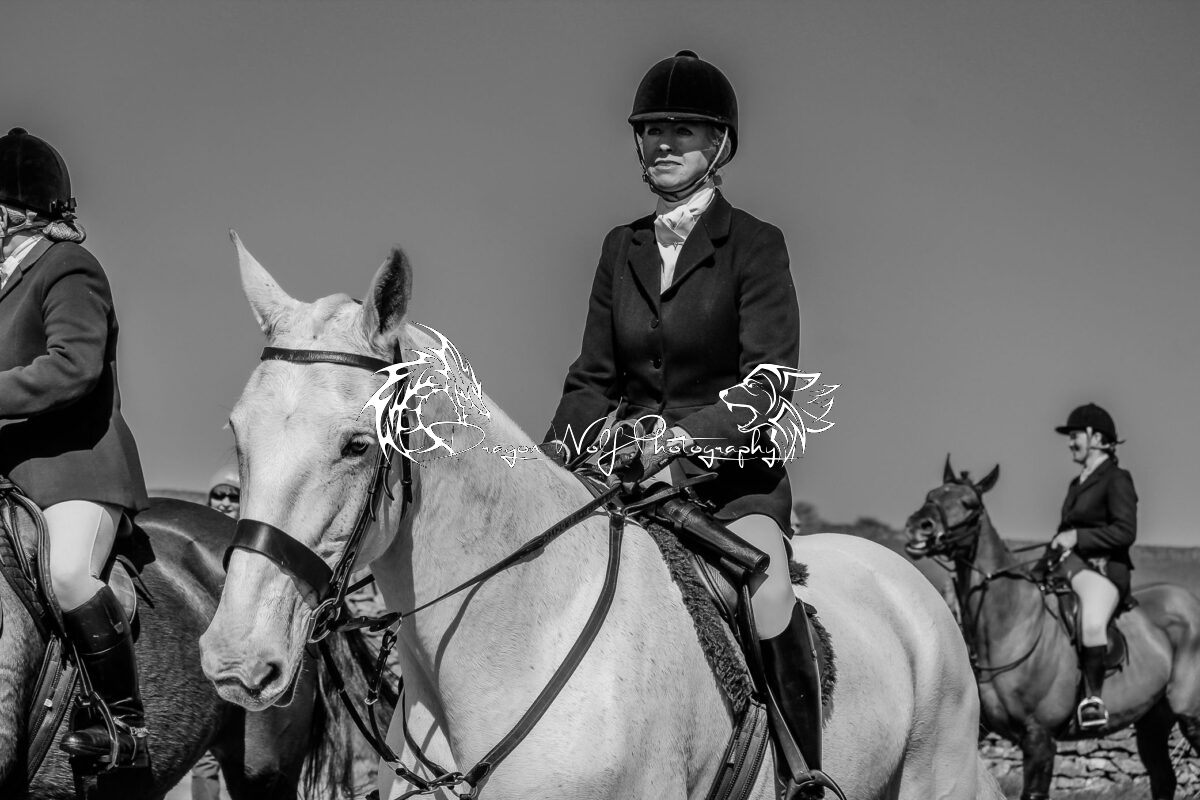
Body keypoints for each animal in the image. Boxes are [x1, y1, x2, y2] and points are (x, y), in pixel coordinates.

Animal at [904, 457, 1200, 800]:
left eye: (970, 504)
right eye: (932, 494)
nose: (918, 527)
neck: (1010, 625)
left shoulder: (1039, 736)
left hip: (1191, 716)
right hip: (1153, 720)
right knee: (1163, 778)